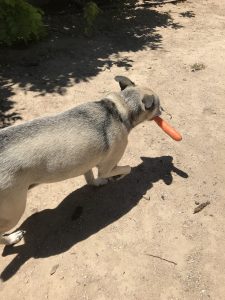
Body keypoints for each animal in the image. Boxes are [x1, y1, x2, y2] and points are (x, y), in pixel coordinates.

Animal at [0, 75, 162, 246]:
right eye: (158, 105)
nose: (163, 110)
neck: (119, 108)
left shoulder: (87, 161)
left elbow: (90, 177)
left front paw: (98, 183)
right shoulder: (107, 168)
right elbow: (127, 168)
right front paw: (118, 176)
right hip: (14, 211)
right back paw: (11, 238)